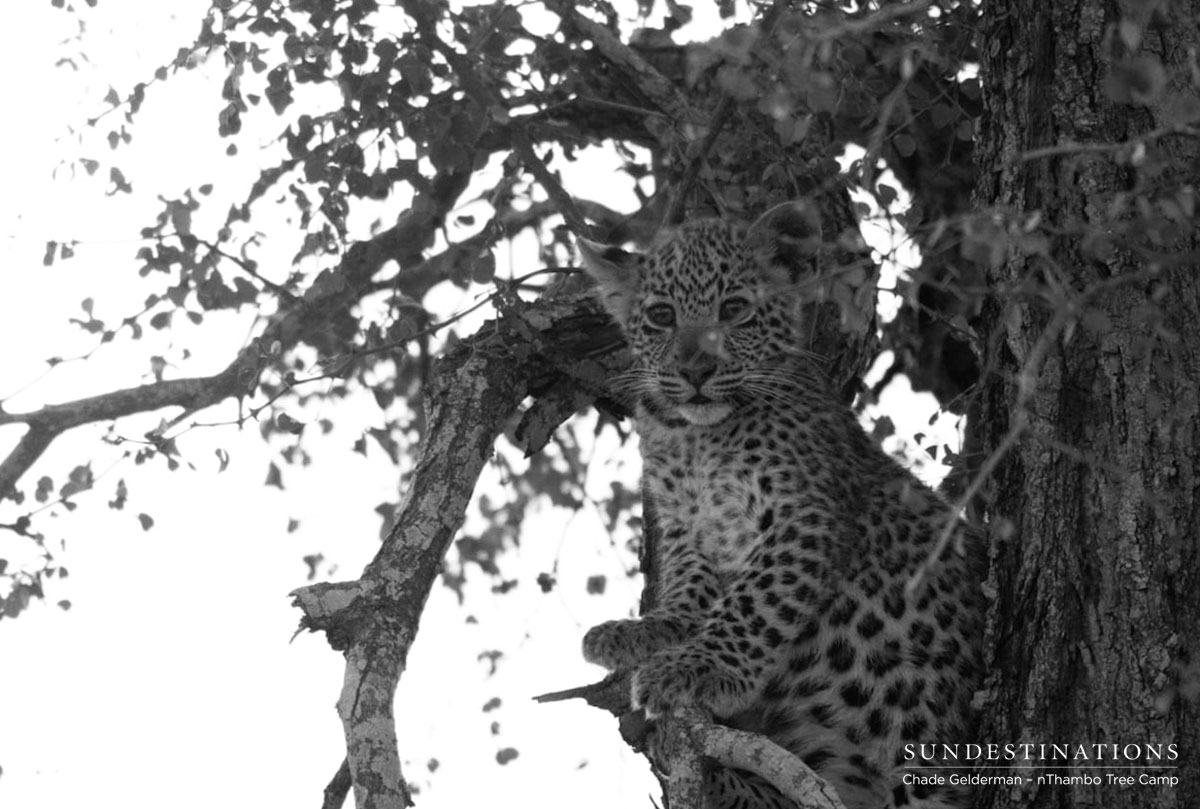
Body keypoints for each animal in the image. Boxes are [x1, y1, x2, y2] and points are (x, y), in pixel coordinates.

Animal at [577, 201, 985, 809]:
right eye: (660, 316)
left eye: (734, 310)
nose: (696, 369)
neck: (696, 437)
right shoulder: (686, 526)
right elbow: (688, 588)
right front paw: (652, 632)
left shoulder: (803, 513)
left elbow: (756, 601)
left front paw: (699, 667)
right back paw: (715, 778)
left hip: (926, 758)